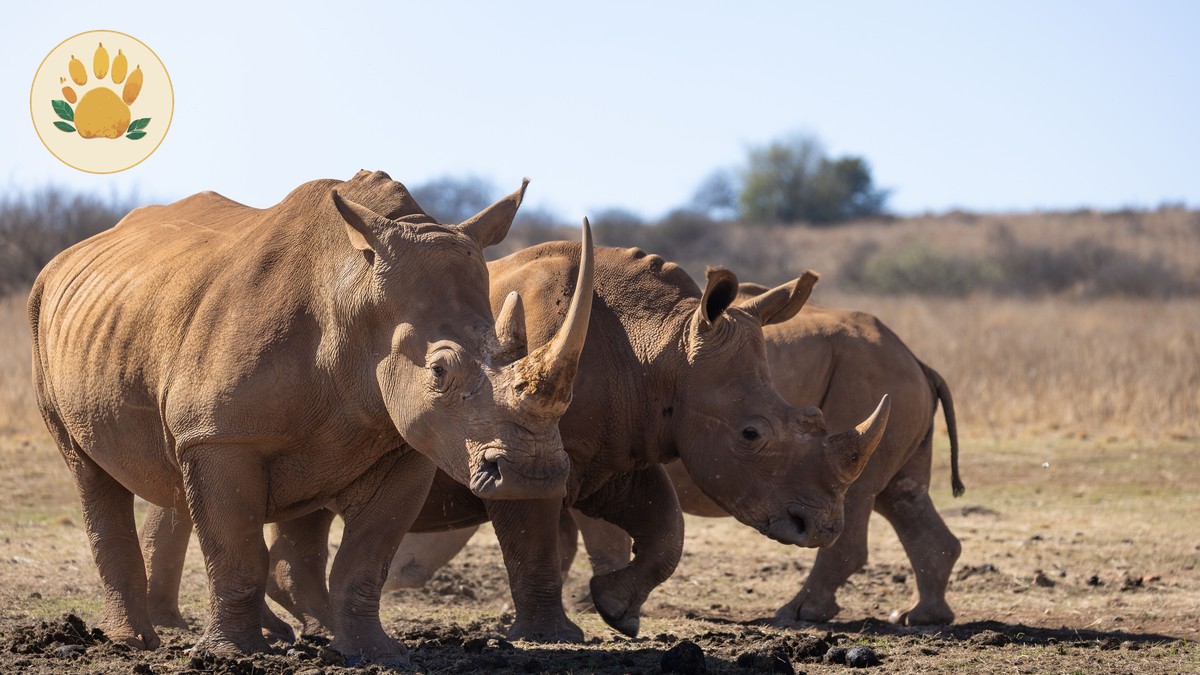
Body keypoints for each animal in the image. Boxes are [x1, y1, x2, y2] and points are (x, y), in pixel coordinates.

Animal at [27, 170, 595, 665]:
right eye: (438, 370)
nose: (534, 475)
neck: (356, 299)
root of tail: (71, 255)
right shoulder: (221, 438)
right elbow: (235, 551)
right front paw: (229, 656)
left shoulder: (407, 445)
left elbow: (367, 559)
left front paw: (374, 653)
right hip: (43, 317)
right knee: (91, 474)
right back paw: (133, 643)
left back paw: (303, 635)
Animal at [139, 244, 890, 642]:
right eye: (752, 434)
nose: (821, 525)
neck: (660, 346)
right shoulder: (520, 450)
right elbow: (536, 537)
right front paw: (556, 634)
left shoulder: (613, 453)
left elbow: (665, 528)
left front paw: (618, 610)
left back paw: (296, 628)